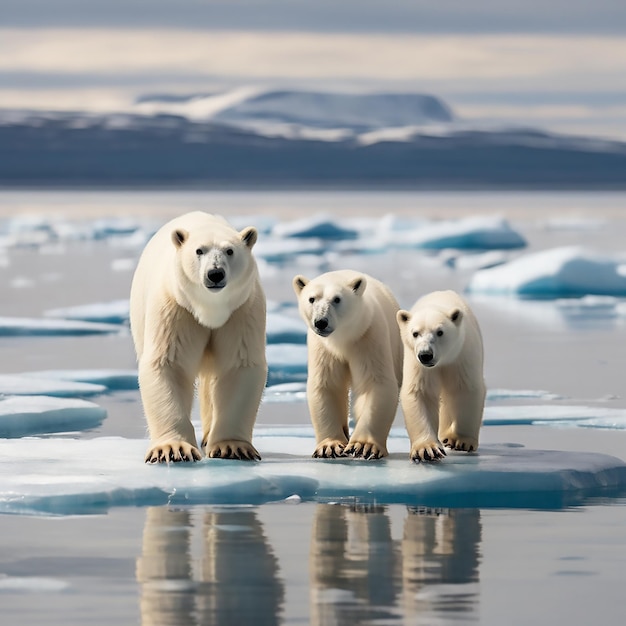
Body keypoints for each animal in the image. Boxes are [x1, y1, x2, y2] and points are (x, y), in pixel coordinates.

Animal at [130, 212, 266, 460]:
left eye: (230, 250)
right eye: (199, 251)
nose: (215, 273)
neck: (209, 310)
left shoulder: (242, 311)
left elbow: (238, 365)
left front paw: (231, 447)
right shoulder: (175, 308)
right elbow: (169, 363)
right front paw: (172, 449)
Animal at [292, 270, 400, 458]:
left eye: (337, 299)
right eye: (312, 299)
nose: (321, 322)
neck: (343, 339)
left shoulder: (368, 337)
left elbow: (375, 383)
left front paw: (363, 446)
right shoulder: (323, 348)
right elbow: (328, 385)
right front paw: (330, 447)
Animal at [394, 290, 488, 460]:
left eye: (440, 332)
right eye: (415, 333)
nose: (426, 355)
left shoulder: (461, 355)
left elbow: (466, 389)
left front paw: (461, 441)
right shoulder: (417, 364)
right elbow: (421, 392)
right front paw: (427, 450)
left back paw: (448, 437)